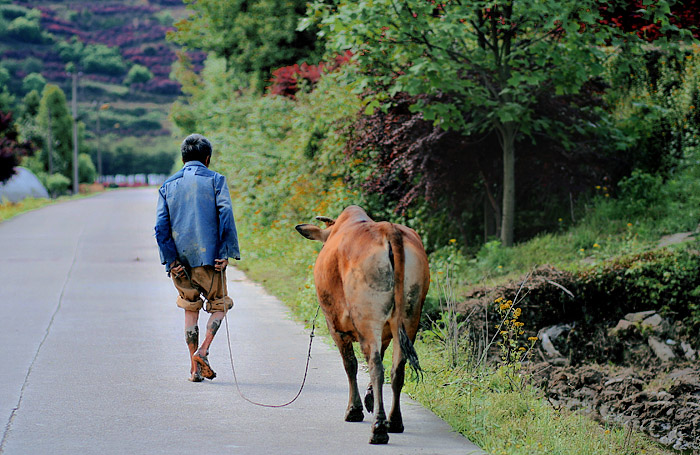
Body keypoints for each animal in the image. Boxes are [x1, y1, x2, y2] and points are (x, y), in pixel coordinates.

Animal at [294, 206, 430, 446]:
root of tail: (388, 229)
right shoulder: (384, 334)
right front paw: (369, 399)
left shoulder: (336, 328)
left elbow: (351, 365)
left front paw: (355, 409)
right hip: (410, 317)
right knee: (397, 369)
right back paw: (394, 421)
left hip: (367, 317)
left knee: (376, 366)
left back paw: (379, 428)